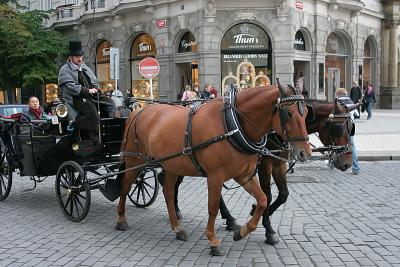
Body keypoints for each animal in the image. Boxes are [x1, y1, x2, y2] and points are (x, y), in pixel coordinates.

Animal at [117, 83, 310, 255]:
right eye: (289, 113)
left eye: (306, 113)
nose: (305, 153)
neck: (232, 124)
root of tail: (138, 111)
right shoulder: (215, 175)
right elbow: (213, 207)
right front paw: (213, 240)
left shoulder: (244, 175)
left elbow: (263, 199)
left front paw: (242, 231)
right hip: (134, 161)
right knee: (125, 186)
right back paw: (121, 218)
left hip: (172, 165)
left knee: (168, 191)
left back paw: (177, 227)